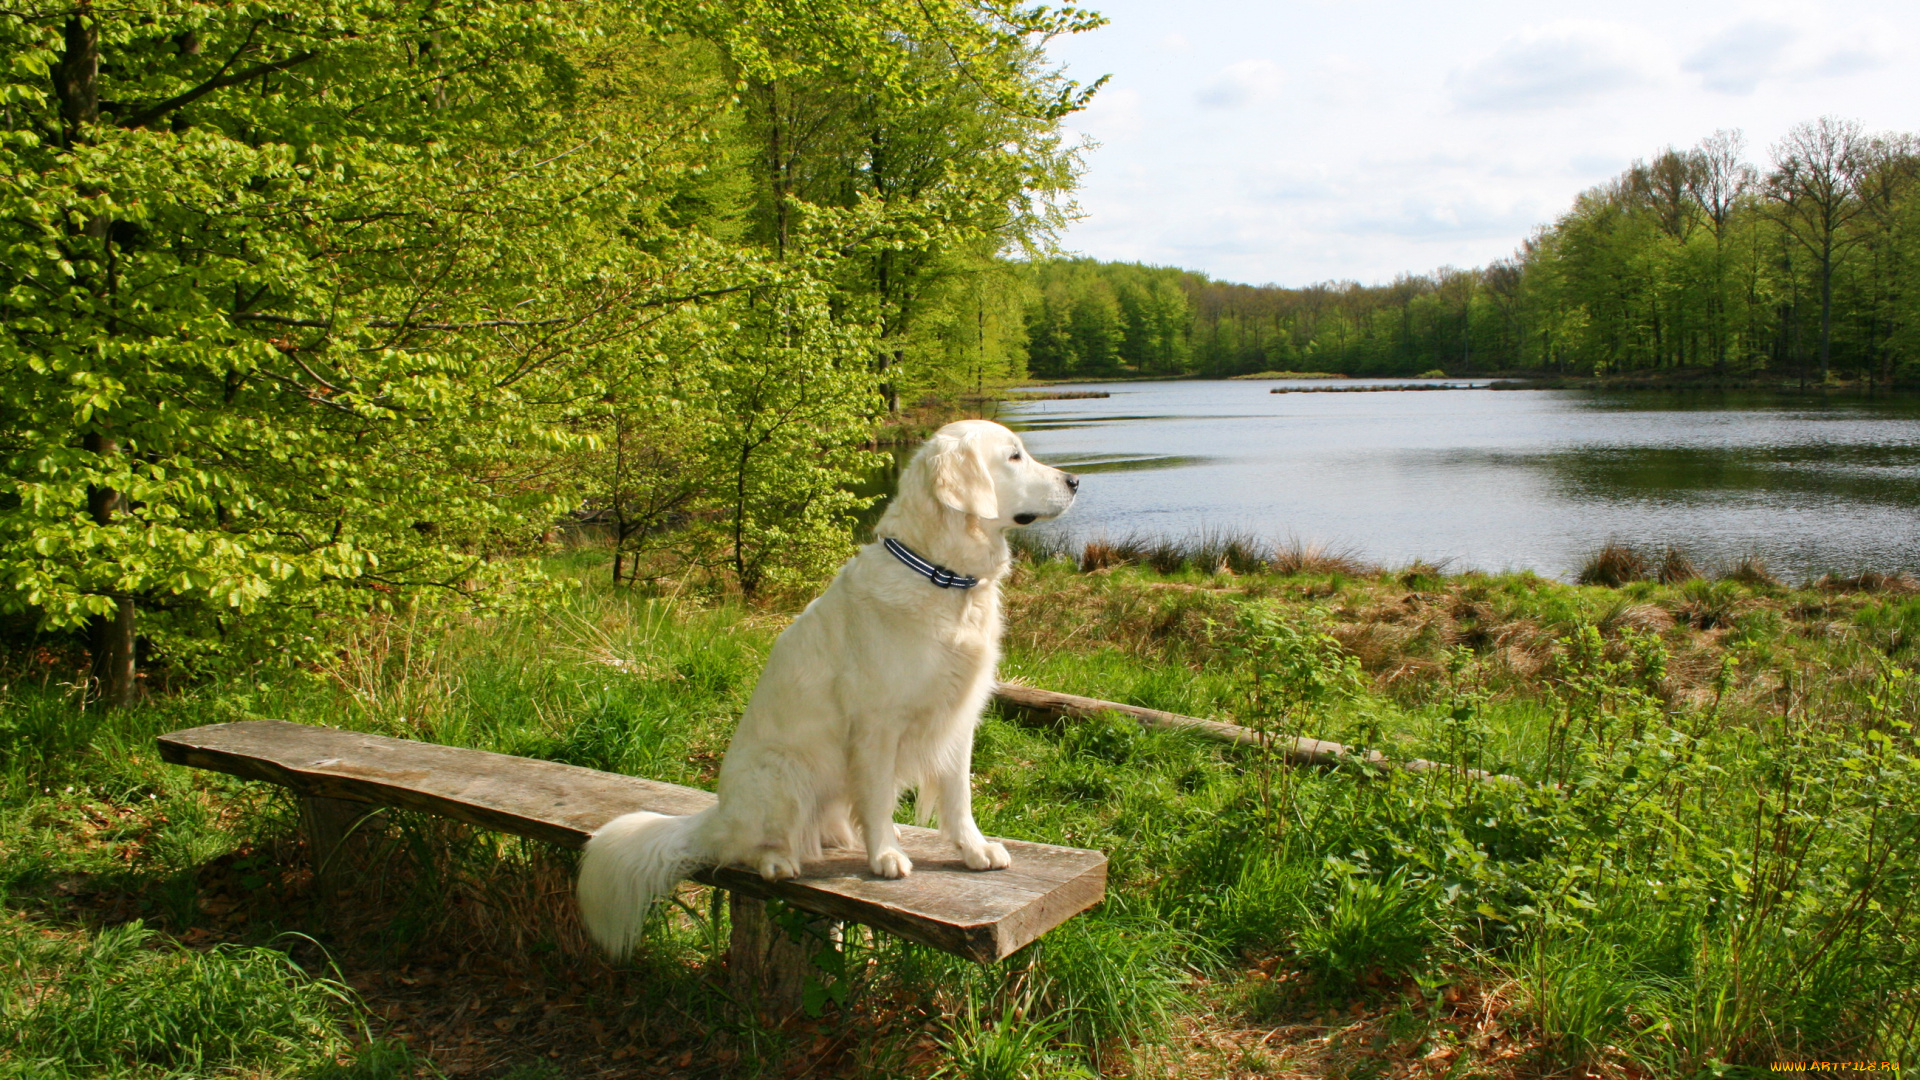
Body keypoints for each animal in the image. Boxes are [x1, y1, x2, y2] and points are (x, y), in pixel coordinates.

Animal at [568, 418, 1082, 949]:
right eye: (1014, 456)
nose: (1075, 482)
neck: (941, 577)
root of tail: (718, 814)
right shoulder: (877, 725)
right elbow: (877, 798)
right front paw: (885, 855)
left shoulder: (959, 719)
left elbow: (958, 797)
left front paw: (973, 850)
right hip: (783, 771)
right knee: (748, 847)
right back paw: (778, 860)